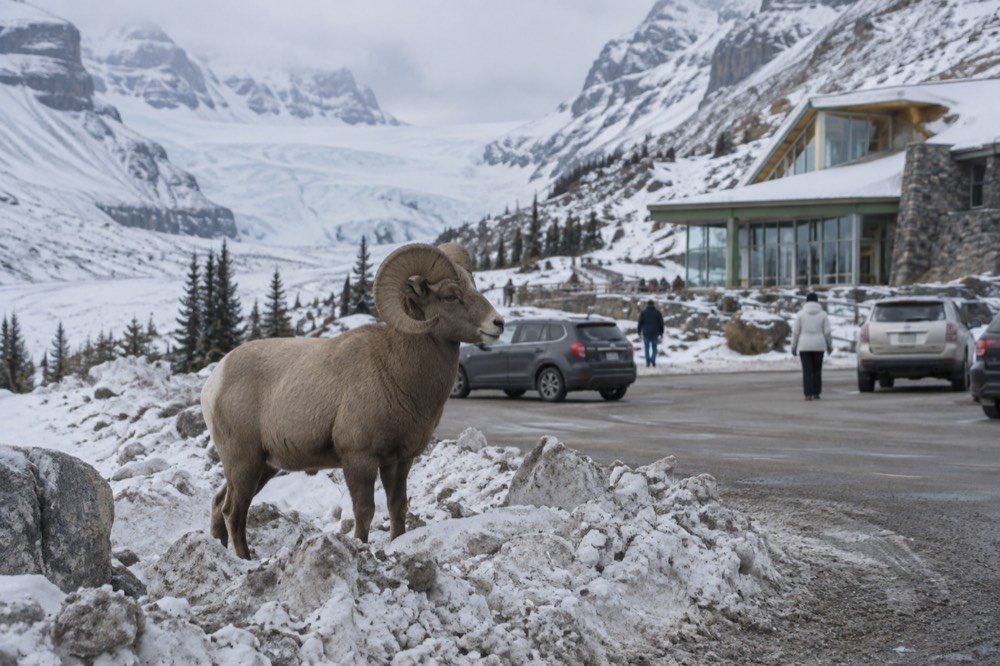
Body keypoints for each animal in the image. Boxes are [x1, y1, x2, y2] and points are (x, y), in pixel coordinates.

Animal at [200, 242, 504, 559]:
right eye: (450, 296)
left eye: (473, 284)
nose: (498, 323)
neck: (395, 371)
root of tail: (213, 383)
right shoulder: (360, 459)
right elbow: (365, 511)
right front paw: (362, 549)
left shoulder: (400, 460)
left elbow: (398, 508)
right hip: (244, 462)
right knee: (233, 511)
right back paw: (245, 559)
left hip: (262, 467)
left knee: (219, 504)